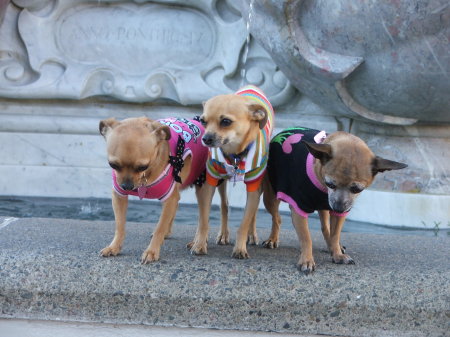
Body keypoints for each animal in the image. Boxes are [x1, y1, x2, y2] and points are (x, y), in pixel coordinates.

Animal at [98, 117, 225, 264]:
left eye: (142, 166)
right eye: (113, 165)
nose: (127, 186)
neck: (146, 177)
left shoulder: (169, 198)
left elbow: (160, 227)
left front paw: (151, 251)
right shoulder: (119, 196)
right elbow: (120, 225)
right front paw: (114, 247)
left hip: (203, 189)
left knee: (203, 220)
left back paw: (198, 243)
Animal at [187, 85, 274, 258]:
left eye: (226, 121)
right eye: (203, 121)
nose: (205, 139)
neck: (234, 154)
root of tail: (251, 87)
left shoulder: (254, 186)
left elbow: (244, 222)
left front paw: (240, 248)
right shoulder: (209, 184)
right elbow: (204, 220)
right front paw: (199, 244)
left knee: (253, 213)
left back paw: (251, 235)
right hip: (221, 182)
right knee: (224, 205)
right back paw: (221, 235)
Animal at [262, 126, 406, 272]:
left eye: (357, 189)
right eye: (330, 184)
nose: (338, 208)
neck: (323, 188)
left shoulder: (337, 214)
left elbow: (335, 234)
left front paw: (337, 253)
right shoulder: (299, 208)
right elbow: (306, 238)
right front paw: (307, 259)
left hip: (323, 208)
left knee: (326, 228)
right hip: (270, 198)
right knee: (277, 218)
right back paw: (273, 239)